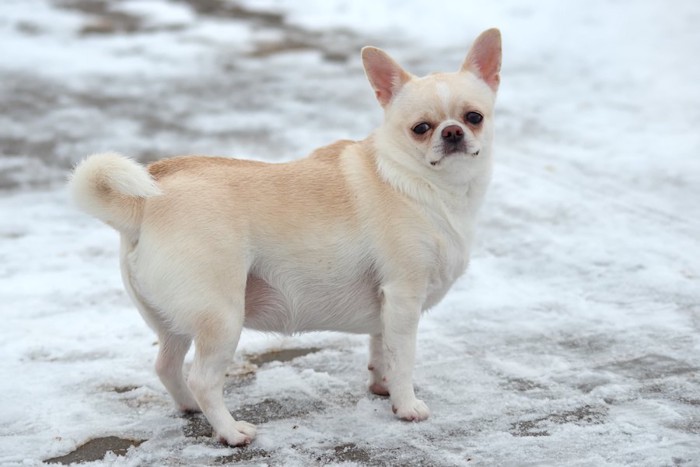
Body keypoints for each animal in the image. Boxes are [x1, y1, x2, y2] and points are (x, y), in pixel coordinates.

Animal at [68, 29, 500, 446]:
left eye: (474, 117)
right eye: (420, 128)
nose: (453, 131)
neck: (422, 183)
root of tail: (144, 205)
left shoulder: (387, 306)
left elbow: (381, 350)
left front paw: (383, 387)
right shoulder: (404, 296)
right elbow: (404, 357)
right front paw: (406, 406)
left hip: (172, 323)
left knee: (167, 367)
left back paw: (191, 408)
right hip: (222, 318)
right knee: (203, 379)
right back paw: (230, 432)